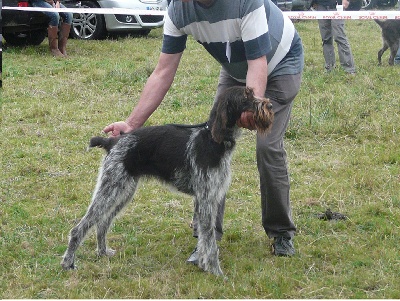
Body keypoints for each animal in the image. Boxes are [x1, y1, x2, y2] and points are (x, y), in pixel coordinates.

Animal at [61, 85, 274, 276]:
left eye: (252, 92)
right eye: (246, 96)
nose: (270, 105)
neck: (214, 140)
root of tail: (113, 142)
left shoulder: (209, 199)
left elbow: (204, 239)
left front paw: (203, 265)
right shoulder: (206, 199)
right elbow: (210, 242)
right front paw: (216, 271)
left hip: (123, 192)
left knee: (103, 223)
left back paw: (103, 252)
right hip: (110, 189)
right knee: (80, 228)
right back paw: (68, 263)